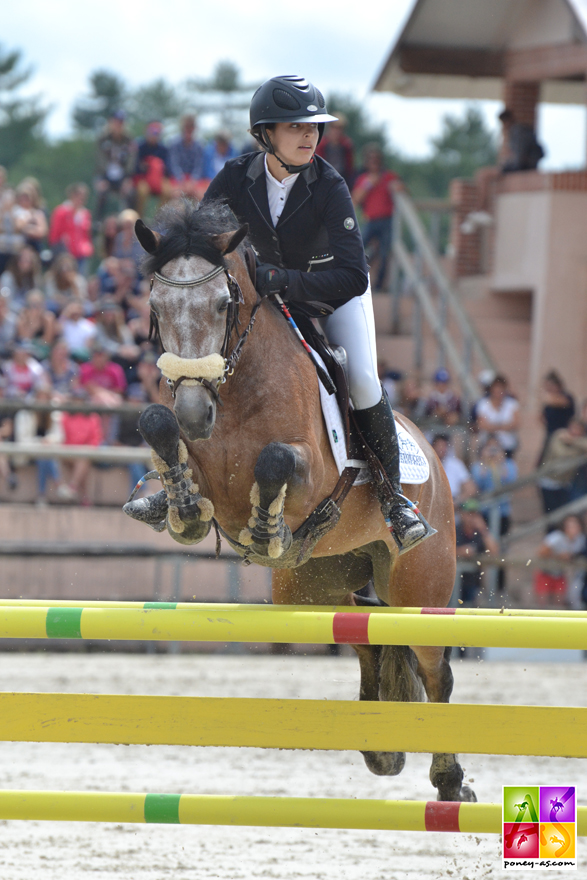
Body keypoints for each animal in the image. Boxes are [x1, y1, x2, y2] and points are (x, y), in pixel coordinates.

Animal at [126, 199, 476, 804]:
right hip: (312, 588)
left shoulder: (311, 472)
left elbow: (275, 462)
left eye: (223, 305)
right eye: (155, 305)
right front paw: (184, 511)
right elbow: (157, 427)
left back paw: (450, 781)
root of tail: (433, 453)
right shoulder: (202, 462)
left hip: (419, 585)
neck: (236, 390)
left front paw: (267, 532)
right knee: (365, 633)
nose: (194, 409)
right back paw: (381, 748)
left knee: (434, 667)